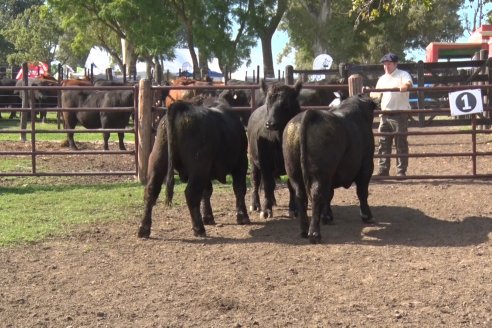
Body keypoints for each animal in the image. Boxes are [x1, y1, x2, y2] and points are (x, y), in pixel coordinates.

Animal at [137, 98, 250, 237]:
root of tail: (181, 107)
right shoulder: (241, 163)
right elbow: (239, 188)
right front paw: (243, 216)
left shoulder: (208, 171)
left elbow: (207, 192)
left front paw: (208, 217)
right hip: (198, 167)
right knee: (191, 193)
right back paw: (199, 228)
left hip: (158, 160)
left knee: (151, 191)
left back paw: (144, 229)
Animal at [246, 79, 304, 219]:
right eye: (268, 103)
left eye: (286, 104)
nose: (270, 123)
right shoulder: (265, 162)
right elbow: (267, 185)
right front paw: (266, 210)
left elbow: (290, 185)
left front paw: (294, 209)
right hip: (253, 160)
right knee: (256, 181)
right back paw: (255, 204)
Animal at [280, 93, 376, 242]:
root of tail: (310, 113)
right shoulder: (366, 166)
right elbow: (362, 192)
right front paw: (367, 216)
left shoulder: (331, 175)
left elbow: (329, 195)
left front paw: (327, 217)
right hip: (320, 173)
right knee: (316, 194)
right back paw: (314, 234)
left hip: (294, 172)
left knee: (301, 195)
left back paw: (304, 230)